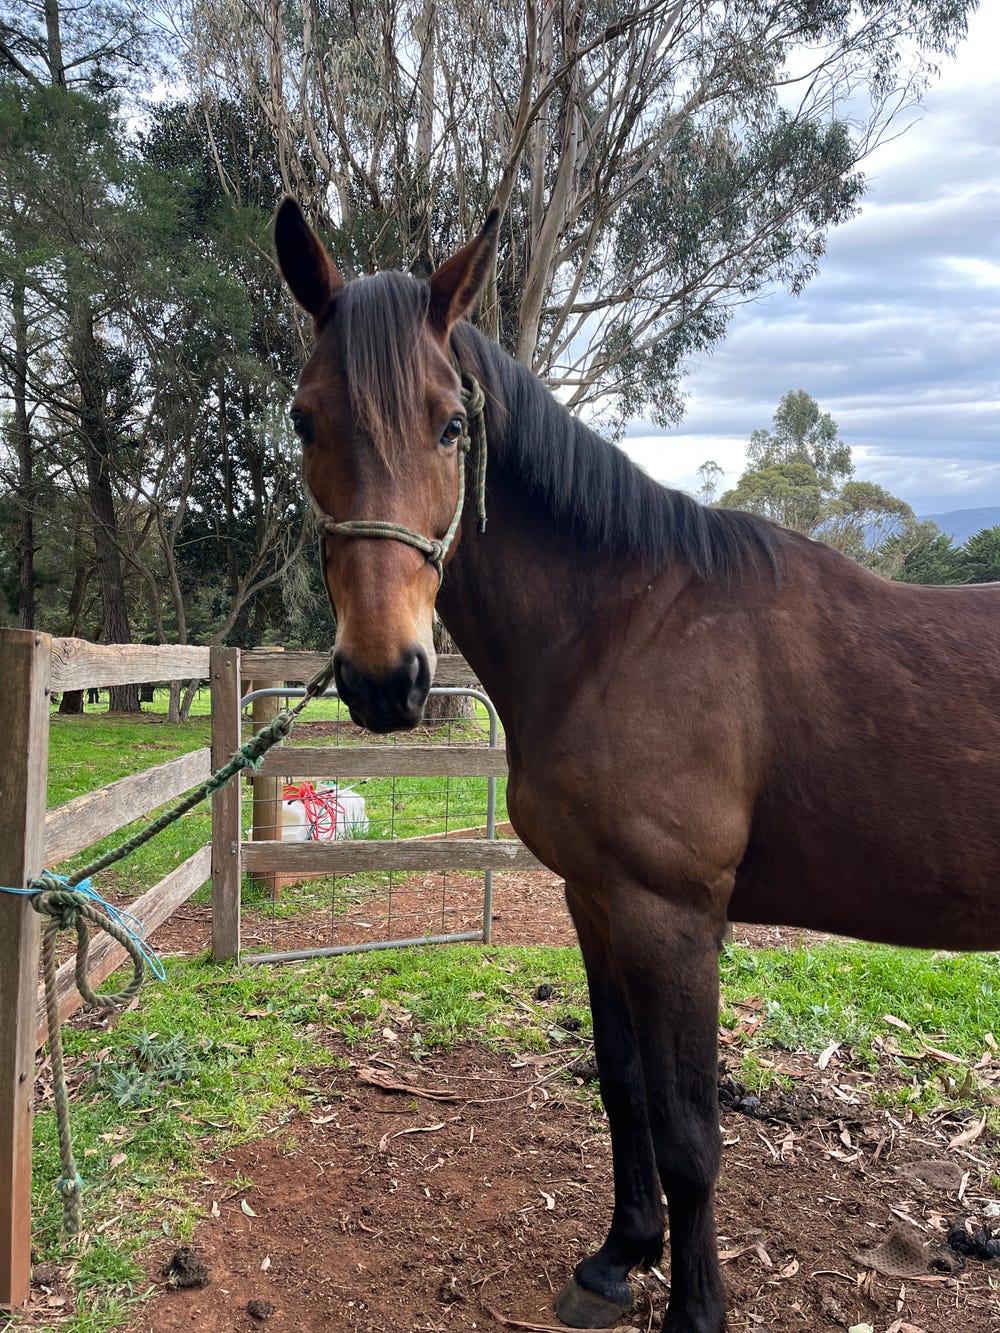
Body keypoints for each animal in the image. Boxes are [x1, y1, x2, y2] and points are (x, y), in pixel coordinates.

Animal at [273, 197, 1000, 1333]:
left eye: (450, 423)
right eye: (306, 420)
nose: (386, 679)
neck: (622, 624)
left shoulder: (676, 918)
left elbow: (691, 1131)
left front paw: (694, 1309)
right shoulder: (597, 898)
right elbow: (622, 1087)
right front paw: (619, 1255)